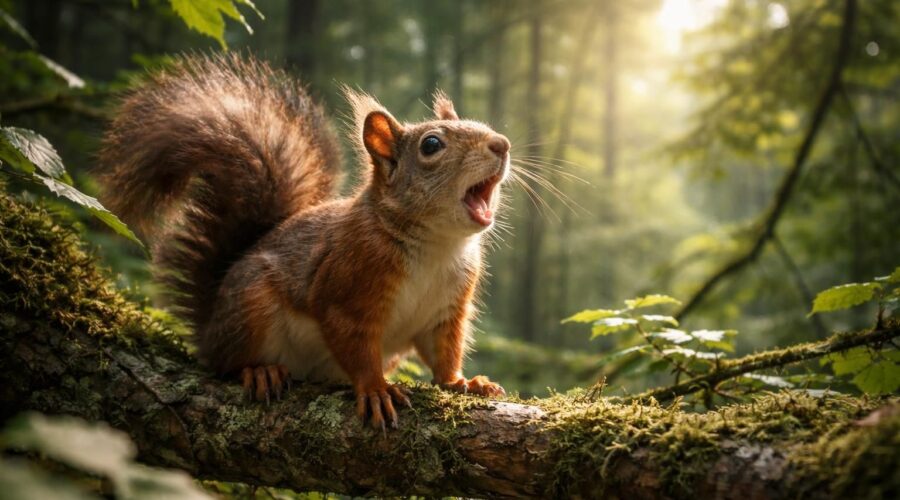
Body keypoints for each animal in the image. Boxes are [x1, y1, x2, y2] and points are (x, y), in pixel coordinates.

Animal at [97, 53, 509, 429]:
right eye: (431, 145)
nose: (502, 144)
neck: (436, 245)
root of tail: (209, 330)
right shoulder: (346, 287)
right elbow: (355, 346)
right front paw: (376, 389)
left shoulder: (447, 311)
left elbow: (444, 352)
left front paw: (464, 382)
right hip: (250, 308)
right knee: (227, 364)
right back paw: (259, 371)